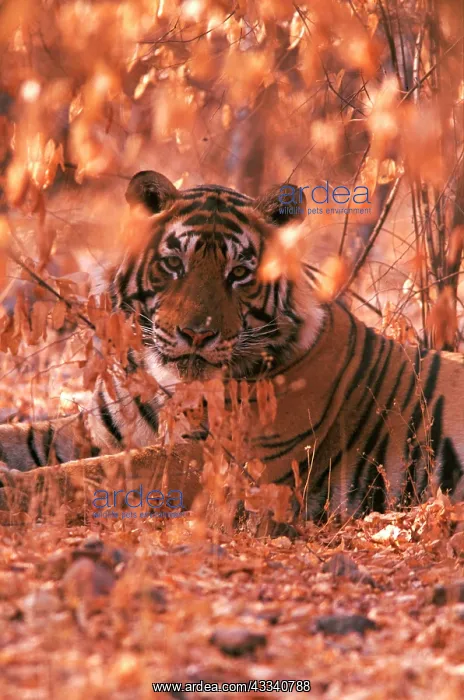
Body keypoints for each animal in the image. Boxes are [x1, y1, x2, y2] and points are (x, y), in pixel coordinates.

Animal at [0, 169, 463, 522]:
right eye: (174, 263)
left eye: (239, 273)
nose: (196, 334)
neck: (167, 384)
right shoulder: (97, 428)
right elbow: (29, 439)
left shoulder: (224, 463)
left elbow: (95, 473)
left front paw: (10, 488)